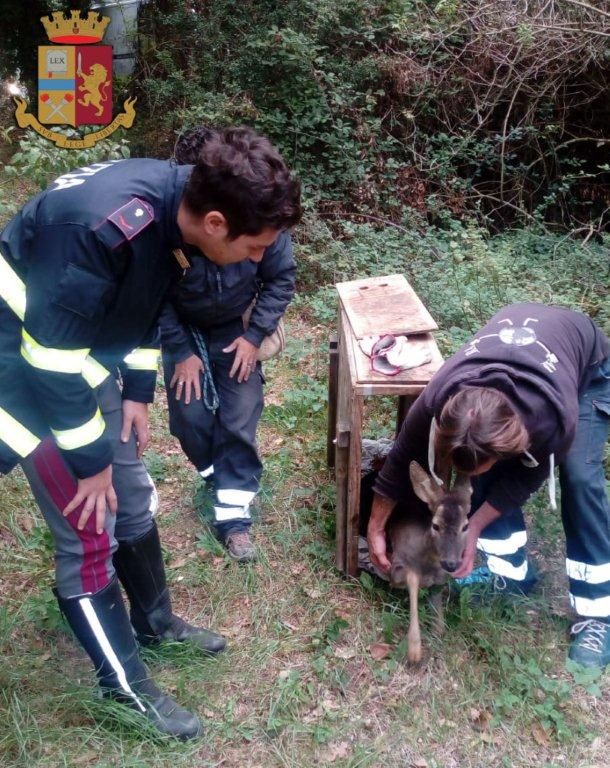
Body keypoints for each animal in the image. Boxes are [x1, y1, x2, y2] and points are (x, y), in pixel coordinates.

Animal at [390, 460, 470, 664]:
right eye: (435, 525)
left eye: (465, 526)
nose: (451, 563)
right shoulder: (395, 565)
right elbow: (412, 579)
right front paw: (414, 650)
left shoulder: (441, 577)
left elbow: (437, 600)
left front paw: (438, 629)